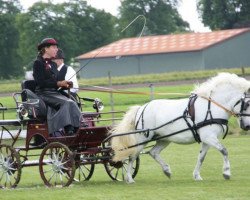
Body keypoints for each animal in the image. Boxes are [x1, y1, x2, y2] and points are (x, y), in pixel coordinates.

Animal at [110, 73, 250, 183]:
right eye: (247, 103)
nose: (247, 126)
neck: (212, 106)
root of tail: (142, 108)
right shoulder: (209, 137)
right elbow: (224, 151)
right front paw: (226, 173)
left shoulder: (207, 139)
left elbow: (201, 157)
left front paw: (197, 175)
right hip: (142, 139)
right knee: (132, 156)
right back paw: (129, 178)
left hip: (164, 139)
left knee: (153, 152)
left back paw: (167, 170)